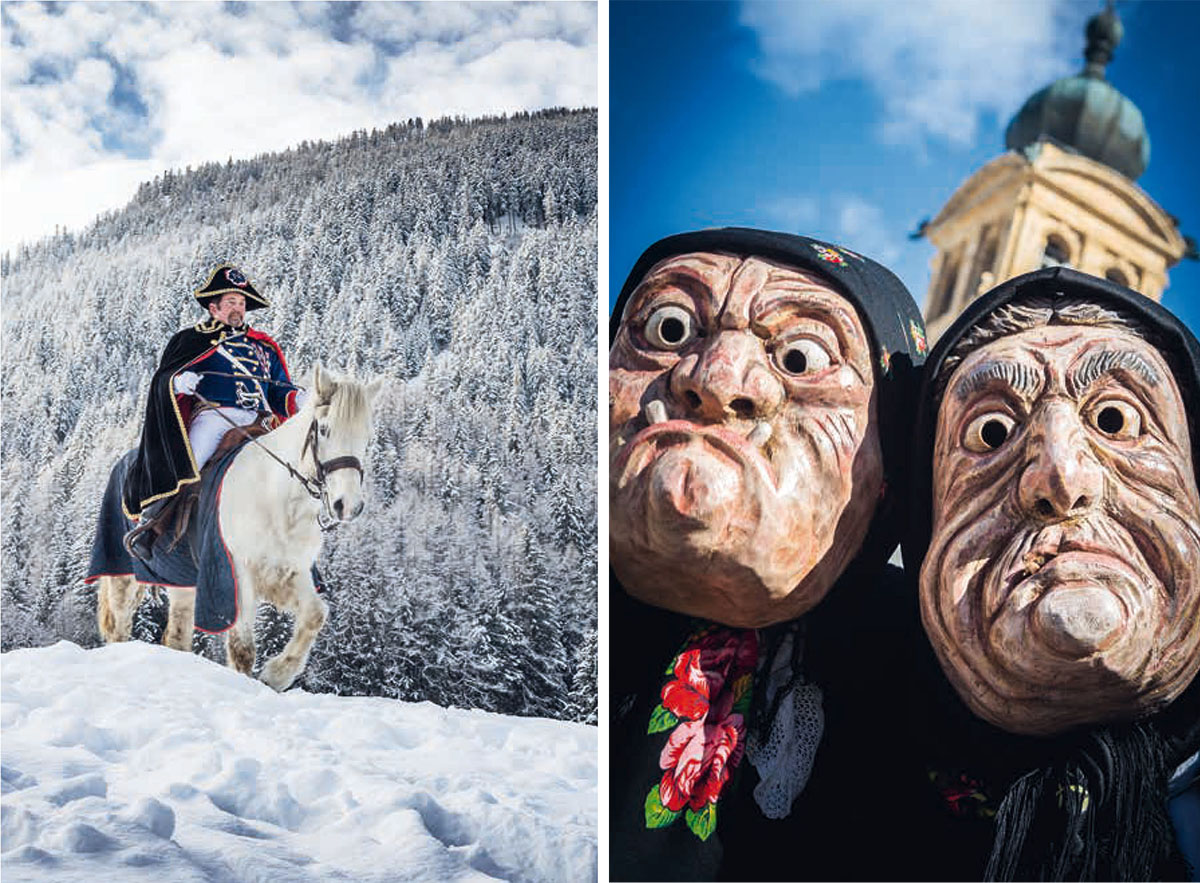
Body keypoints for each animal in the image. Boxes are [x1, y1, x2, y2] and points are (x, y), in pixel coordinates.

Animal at [97, 364, 379, 691]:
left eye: (367, 436)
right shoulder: (235, 574)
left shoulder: (288, 573)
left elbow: (315, 615)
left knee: (176, 636)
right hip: (122, 574)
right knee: (119, 626)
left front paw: (276, 675)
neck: (278, 499)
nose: (348, 505)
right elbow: (243, 648)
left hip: (183, 583)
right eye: (324, 429)